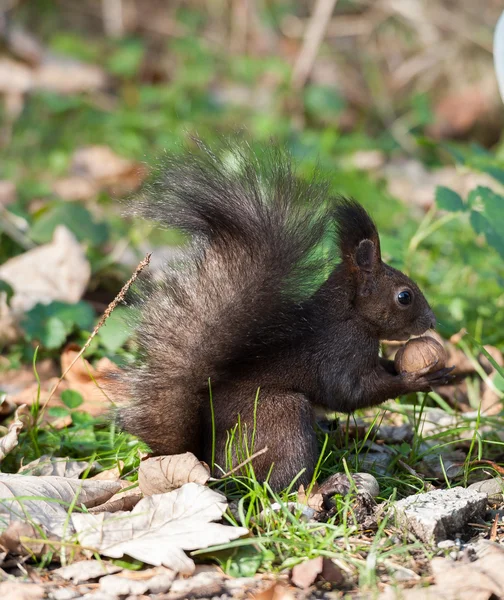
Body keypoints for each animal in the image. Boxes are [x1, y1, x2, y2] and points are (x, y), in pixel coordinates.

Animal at [117, 139, 452, 488]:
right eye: (404, 296)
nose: (431, 322)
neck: (351, 316)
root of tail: (207, 460)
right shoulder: (340, 354)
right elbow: (351, 394)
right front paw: (418, 379)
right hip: (283, 417)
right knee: (279, 483)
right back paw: (322, 485)